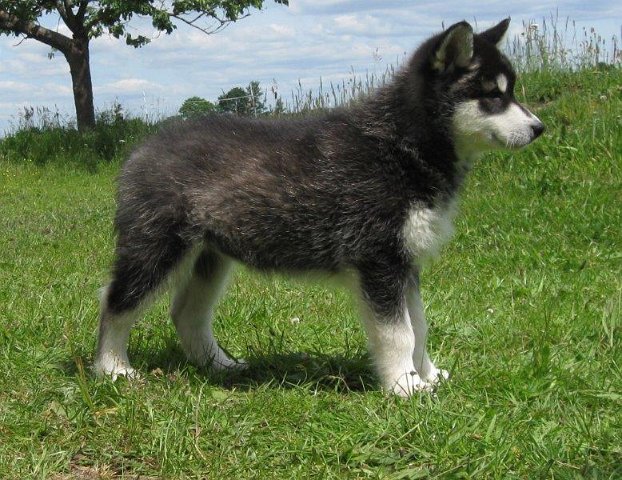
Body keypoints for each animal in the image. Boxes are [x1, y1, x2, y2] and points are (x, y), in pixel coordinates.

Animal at [94, 18, 544, 396]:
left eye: (510, 91)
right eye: (492, 96)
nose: (539, 128)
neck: (401, 144)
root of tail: (142, 146)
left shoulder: (406, 263)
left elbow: (420, 326)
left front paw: (428, 376)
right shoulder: (379, 261)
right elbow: (399, 333)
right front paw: (405, 386)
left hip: (211, 256)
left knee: (187, 314)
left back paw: (219, 365)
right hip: (156, 249)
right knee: (115, 302)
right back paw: (113, 368)